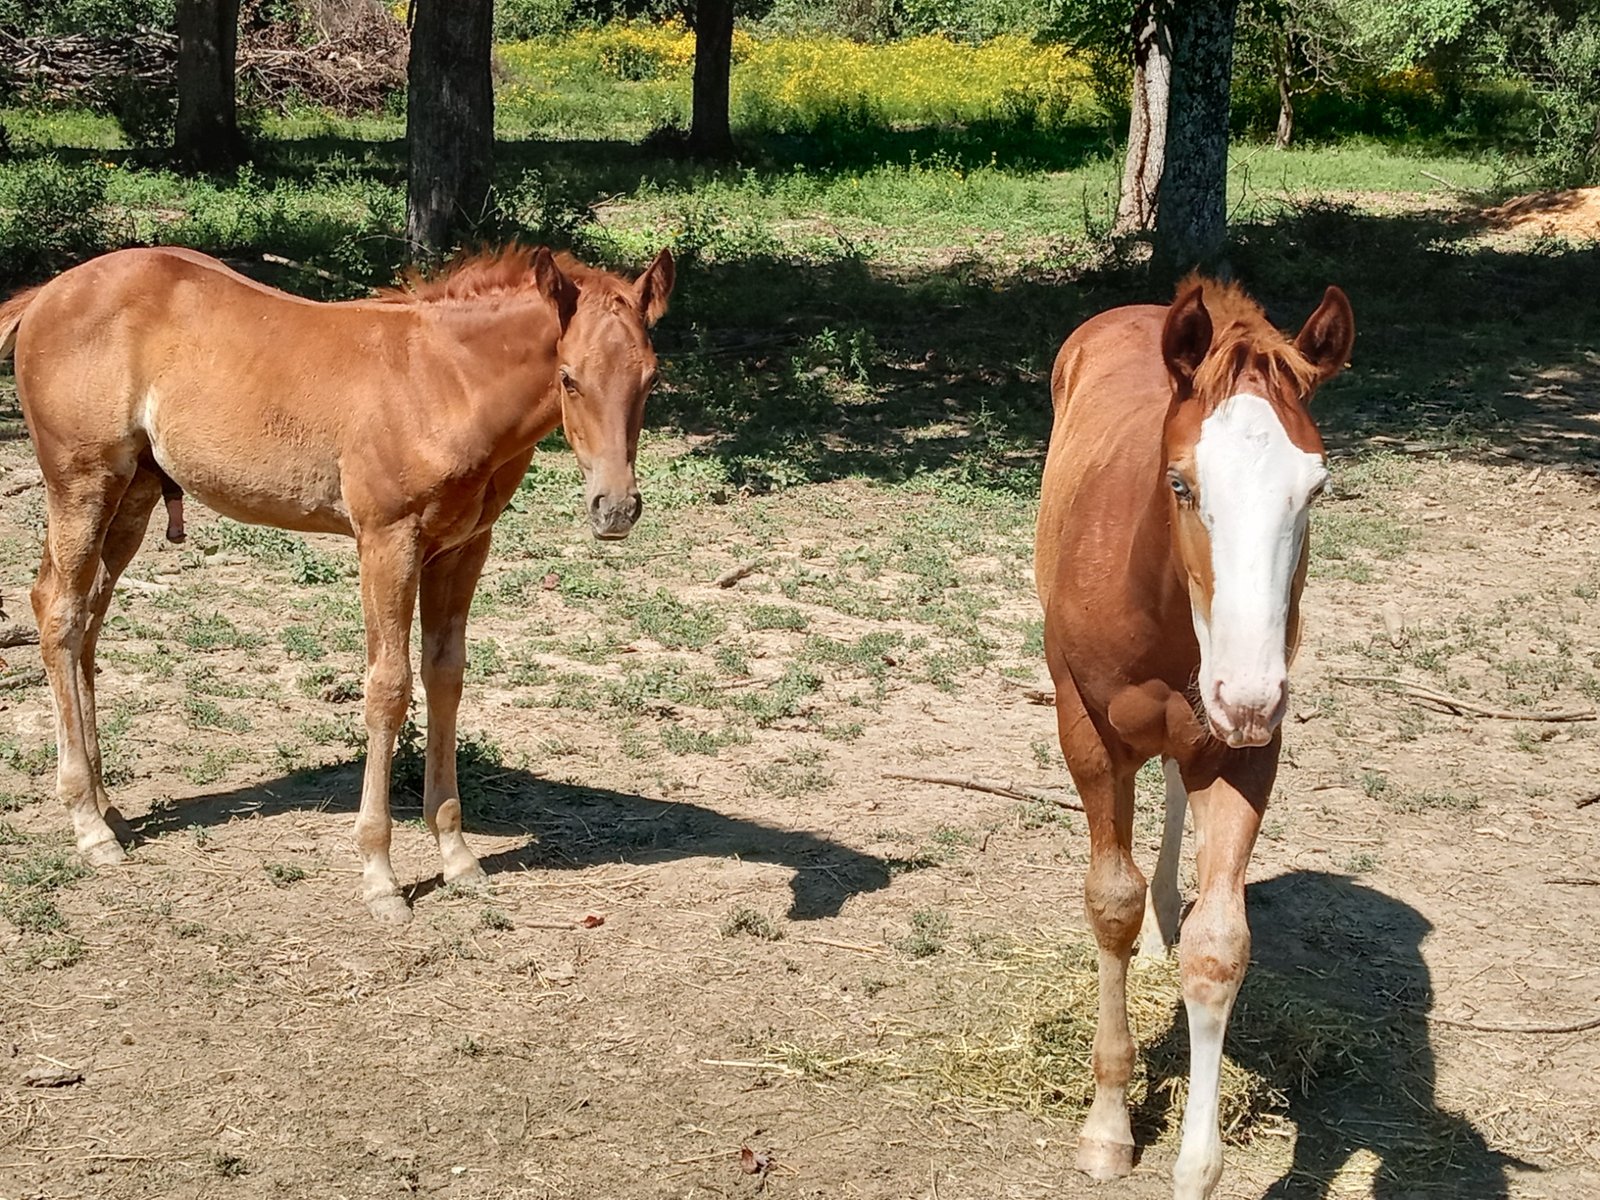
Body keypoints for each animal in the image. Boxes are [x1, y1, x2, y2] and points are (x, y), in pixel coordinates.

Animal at [0, 242, 674, 924]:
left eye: (650, 379)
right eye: (568, 377)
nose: (616, 508)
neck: (446, 382)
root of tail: (46, 295)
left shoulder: (463, 548)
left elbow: (445, 678)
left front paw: (457, 855)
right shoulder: (386, 541)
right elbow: (388, 689)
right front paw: (380, 875)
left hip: (133, 493)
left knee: (86, 622)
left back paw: (107, 805)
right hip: (82, 484)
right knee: (58, 612)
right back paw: (89, 825)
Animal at [1035, 277, 1354, 1199]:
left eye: (1315, 489)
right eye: (1180, 484)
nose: (1248, 694)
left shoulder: (1247, 748)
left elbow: (1219, 947)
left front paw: (1197, 1166)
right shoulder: (1087, 731)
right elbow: (1109, 902)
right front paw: (1108, 1125)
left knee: (1179, 785)